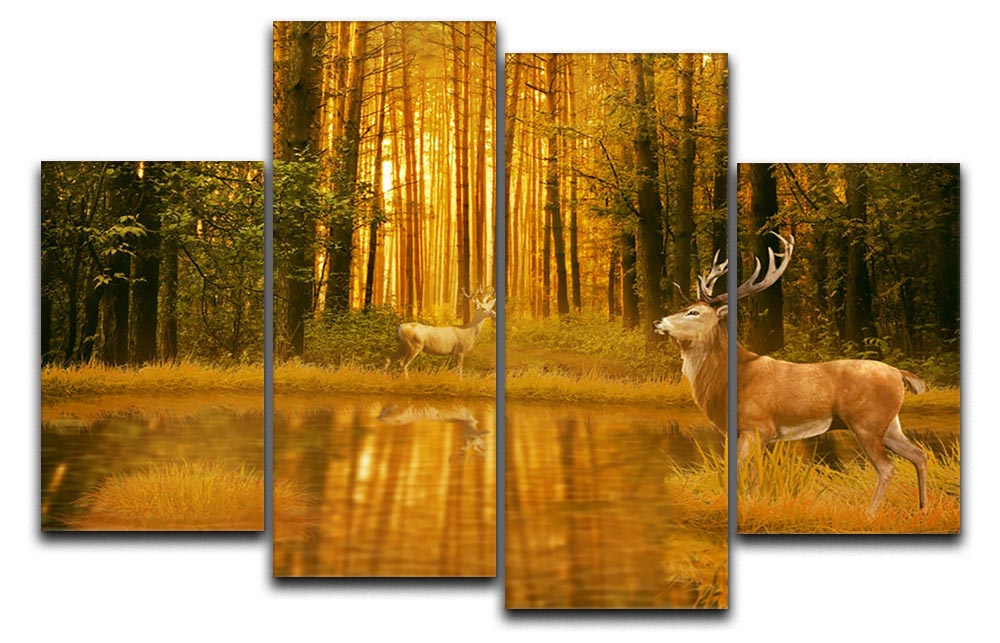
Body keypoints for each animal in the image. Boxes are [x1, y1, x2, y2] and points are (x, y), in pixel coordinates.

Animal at [654, 233, 929, 515]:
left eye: (694, 312)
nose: (657, 322)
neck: (730, 380)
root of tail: (898, 374)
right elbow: (753, 474)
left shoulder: (757, 425)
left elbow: (742, 471)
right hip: (890, 424)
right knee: (919, 454)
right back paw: (922, 508)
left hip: (867, 422)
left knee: (887, 467)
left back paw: (870, 514)